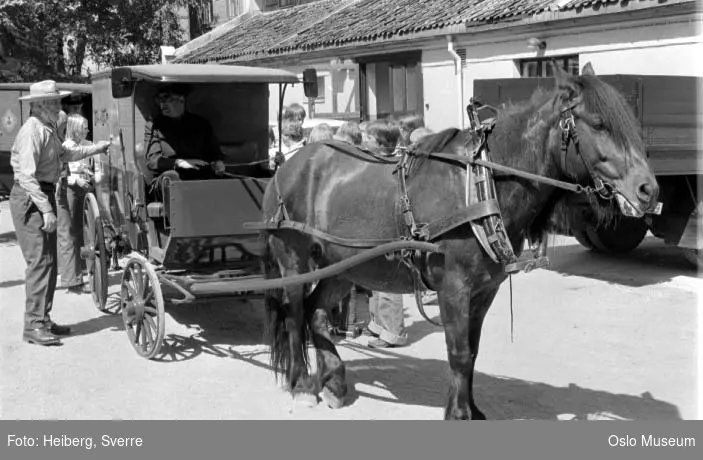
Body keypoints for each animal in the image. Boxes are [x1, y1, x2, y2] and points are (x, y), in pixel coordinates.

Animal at [258, 63, 660, 418]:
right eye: (599, 123)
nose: (649, 190)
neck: (483, 184)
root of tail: (289, 165)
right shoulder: (453, 287)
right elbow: (459, 353)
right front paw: (459, 413)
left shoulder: (484, 290)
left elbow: (473, 351)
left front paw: (471, 409)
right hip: (294, 262)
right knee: (295, 314)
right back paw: (301, 384)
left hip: (345, 267)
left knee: (318, 314)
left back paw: (334, 382)